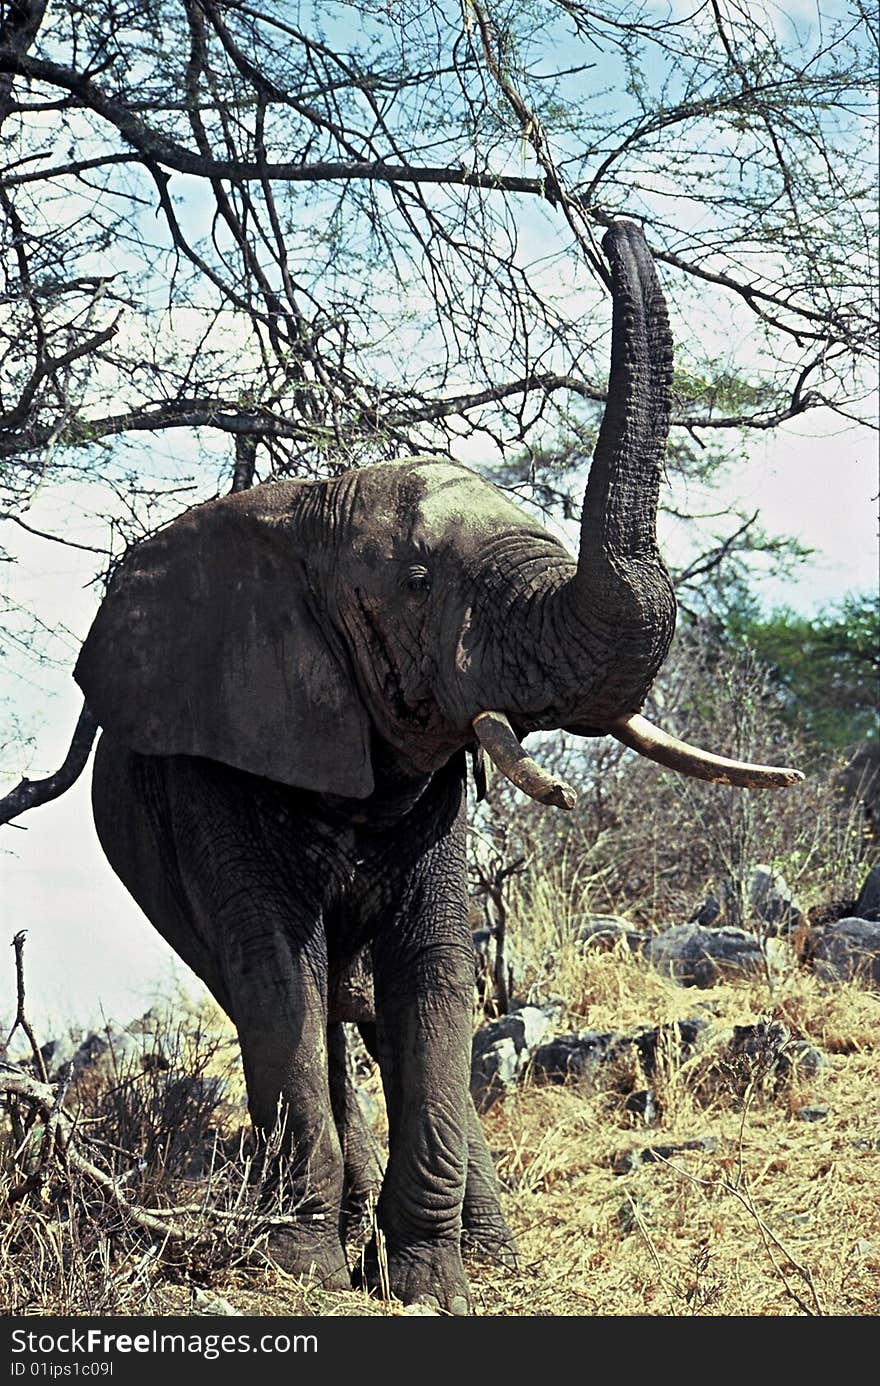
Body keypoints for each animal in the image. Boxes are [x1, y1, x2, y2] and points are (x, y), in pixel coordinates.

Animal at [70, 218, 798, 1308]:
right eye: (417, 582)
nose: (614, 230)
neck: (309, 513)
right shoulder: (218, 763)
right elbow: (276, 977)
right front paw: (309, 1273)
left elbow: (437, 974)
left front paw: (433, 1285)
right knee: (292, 1000)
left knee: (372, 1009)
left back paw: (486, 1252)